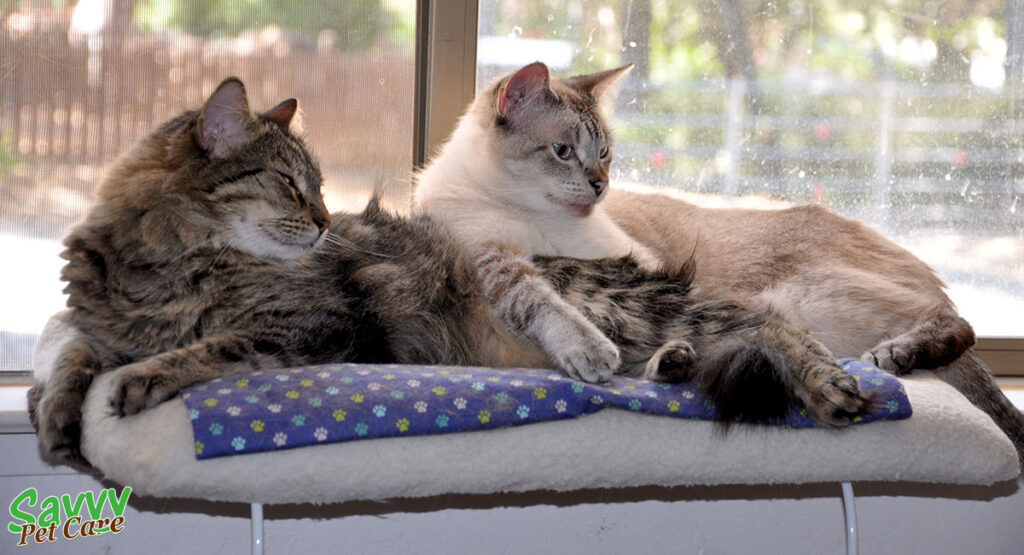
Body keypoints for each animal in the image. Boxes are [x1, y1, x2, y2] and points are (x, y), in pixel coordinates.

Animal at [32, 77, 868, 471]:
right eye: (290, 184)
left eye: (319, 187)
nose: (326, 222)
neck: (163, 260)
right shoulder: (94, 323)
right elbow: (68, 357)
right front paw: (58, 423)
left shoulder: (321, 324)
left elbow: (211, 347)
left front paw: (143, 379)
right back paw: (674, 364)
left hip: (612, 297)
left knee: (768, 323)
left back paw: (832, 385)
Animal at [411, 59, 1024, 464]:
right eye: (564, 151)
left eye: (604, 153)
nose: (599, 185)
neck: (532, 212)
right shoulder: (494, 262)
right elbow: (550, 307)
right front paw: (616, 356)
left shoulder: (642, 268)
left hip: (804, 297)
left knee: (953, 321)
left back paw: (897, 353)